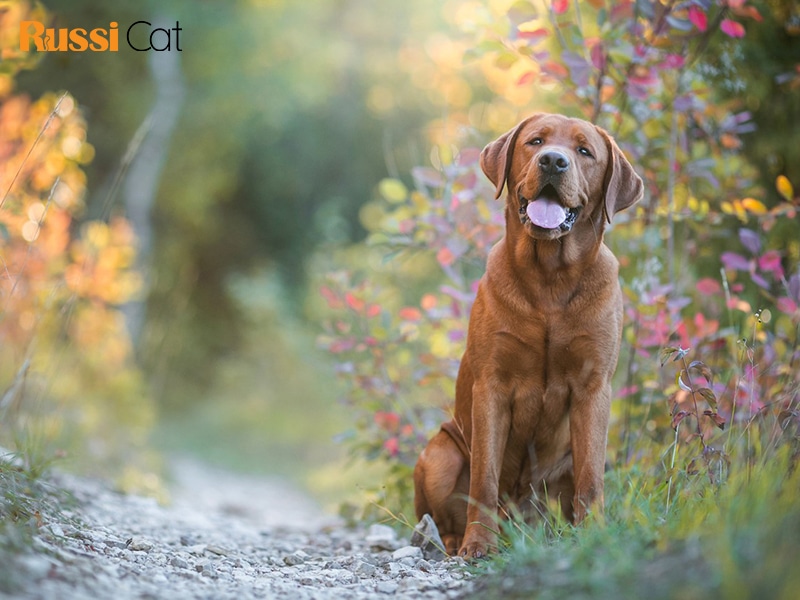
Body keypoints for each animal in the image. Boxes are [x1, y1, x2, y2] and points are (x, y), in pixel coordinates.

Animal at [412, 111, 644, 556]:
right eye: (535, 142)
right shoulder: (491, 385)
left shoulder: (593, 386)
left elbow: (591, 480)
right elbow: (484, 479)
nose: (553, 161)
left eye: (584, 150)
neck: (549, 278)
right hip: (439, 453)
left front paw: (595, 537)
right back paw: (450, 539)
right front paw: (479, 544)